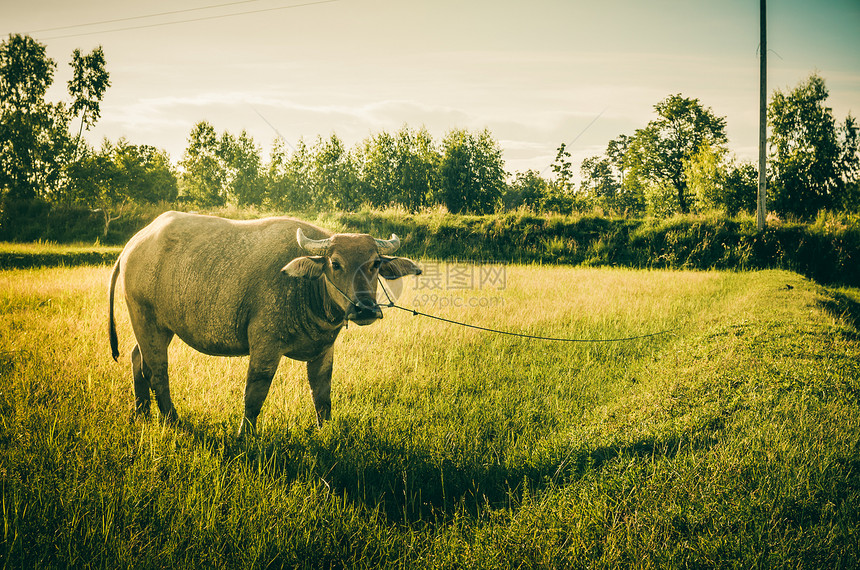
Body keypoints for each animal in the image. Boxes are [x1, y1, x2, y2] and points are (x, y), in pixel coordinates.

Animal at [107, 211, 424, 432]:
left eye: (375, 263)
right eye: (336, 264)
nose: (365, 309)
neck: (306, 289)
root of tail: (133, 244)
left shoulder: (324, 350)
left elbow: (322, 395)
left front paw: (326, 432)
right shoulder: (265, 346)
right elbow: (254, 394)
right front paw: (244, 436)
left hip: (156, 325)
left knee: (138, 359)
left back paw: (141, 412)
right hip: (147, 319)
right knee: (157, 370)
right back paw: (171, 419)